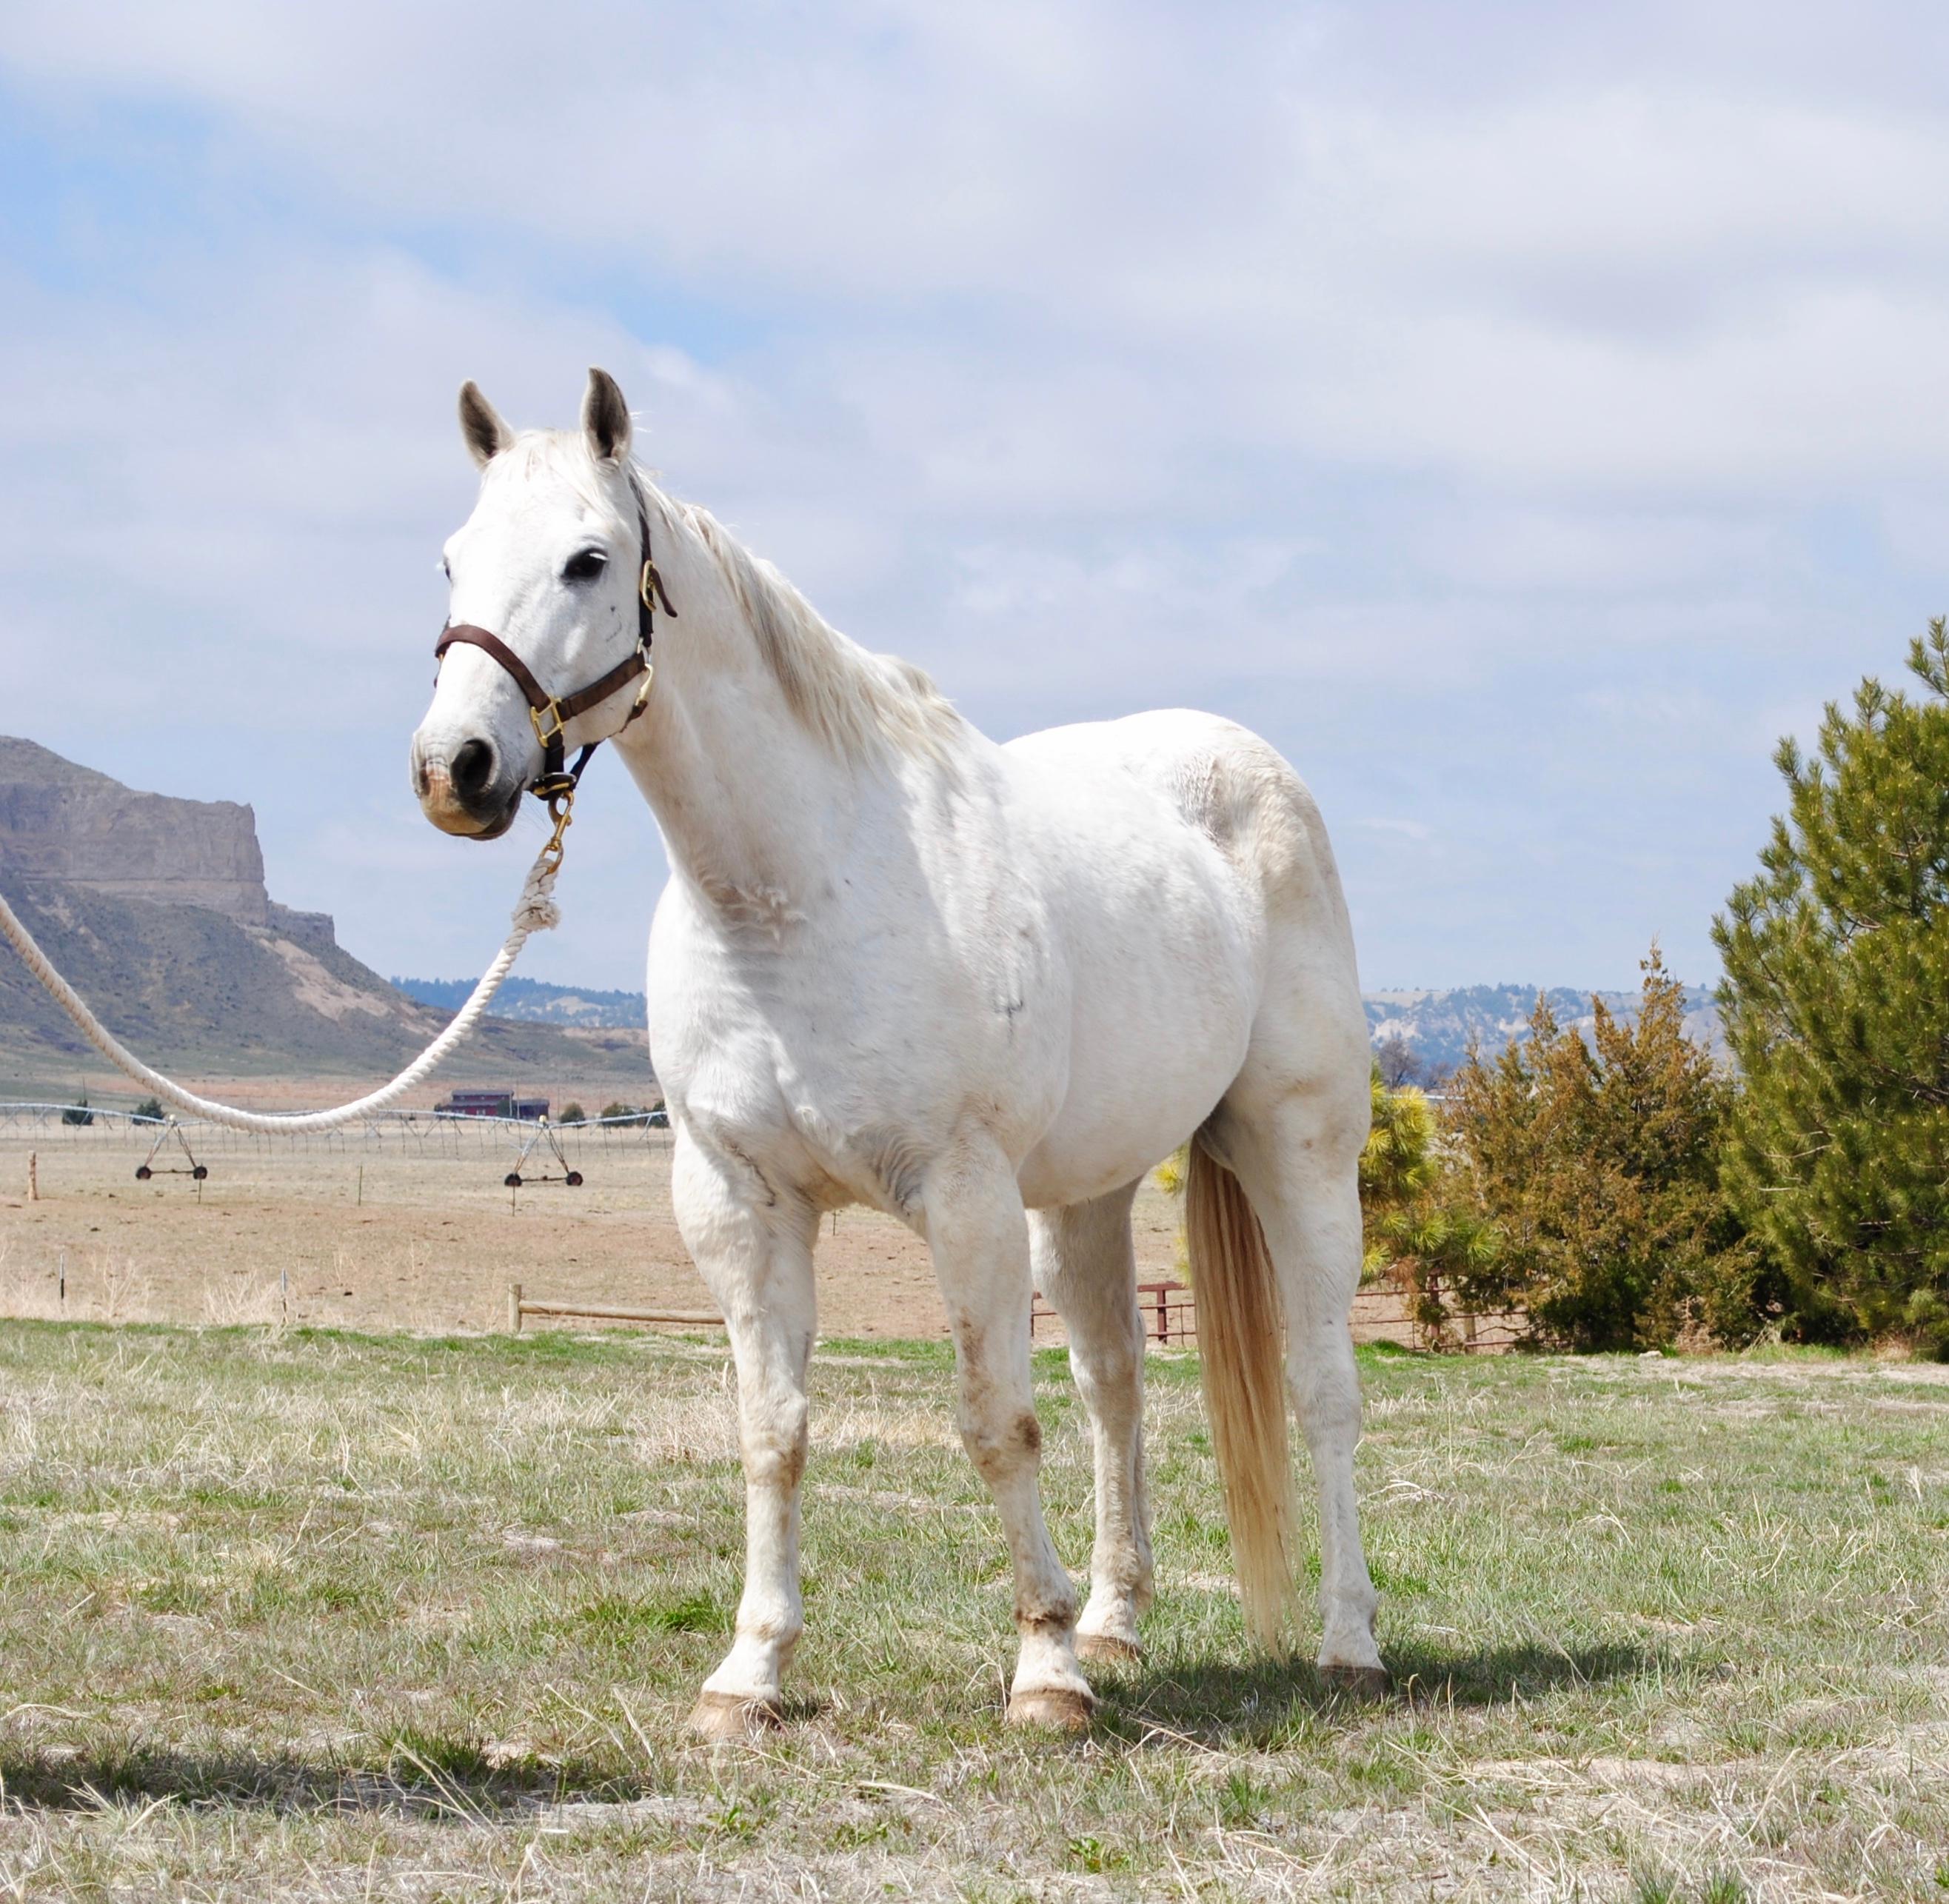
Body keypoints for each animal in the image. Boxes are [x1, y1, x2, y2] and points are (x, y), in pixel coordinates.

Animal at [411, 364, 1387, 1730]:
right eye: (453, 559)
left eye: (587, 559)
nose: (458, 768)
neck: (796, 891)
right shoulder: (740, 1203)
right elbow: (772, 1430)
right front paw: (750, 1674)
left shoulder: (962, 1196)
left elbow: (994, 1420)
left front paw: (1044, 1676)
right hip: (1083, 1198)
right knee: (1115, 1389)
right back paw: (1117, 1620)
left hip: (1294, 1152)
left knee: (1322, 1388)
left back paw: (1348, 1640)